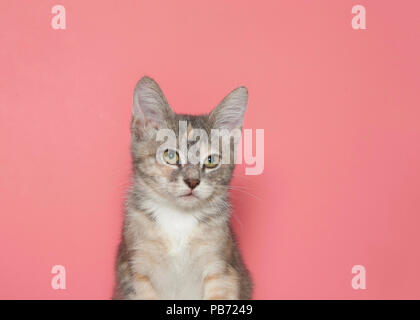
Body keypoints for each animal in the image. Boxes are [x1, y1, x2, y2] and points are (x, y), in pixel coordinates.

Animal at [113, 75, 253, 300]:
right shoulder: (137, 270)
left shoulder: (221, 270)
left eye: (211, 161)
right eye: (171, 155)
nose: (193, 181)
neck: (178, 219)